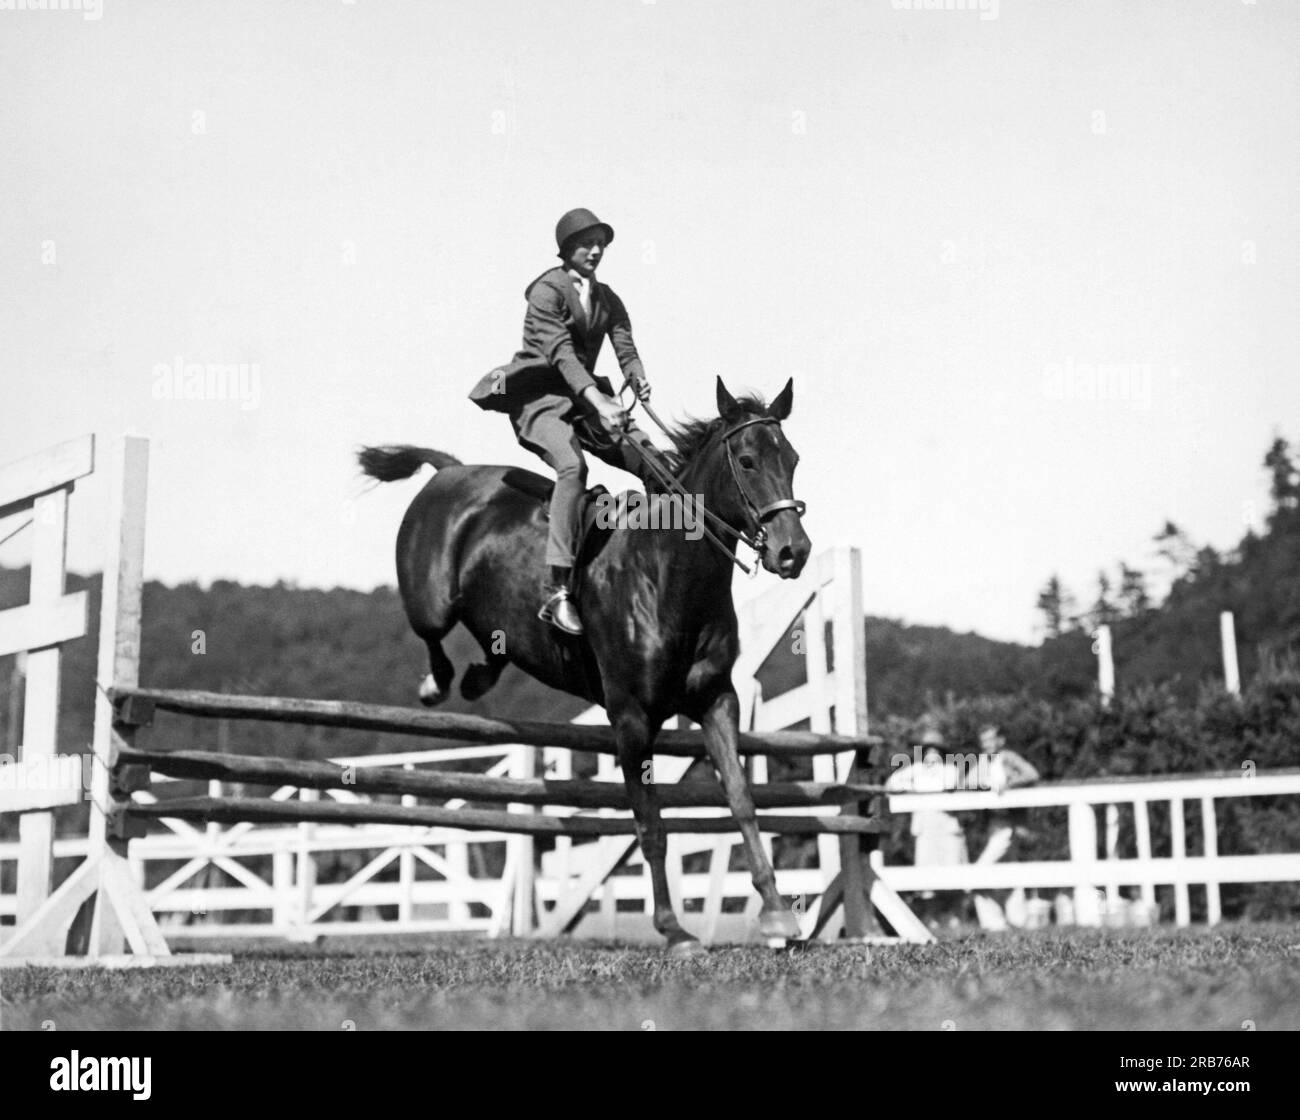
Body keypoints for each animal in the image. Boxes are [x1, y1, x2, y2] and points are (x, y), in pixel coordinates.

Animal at [361, 379, 806, 956]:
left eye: (792, 459)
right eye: (748, 461)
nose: (794, 552)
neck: (669, 572)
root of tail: (450, 471)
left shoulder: (717, 700)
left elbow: (742, 802)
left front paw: (778, 916)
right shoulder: (632, 718)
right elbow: (650, 826)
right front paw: (674, 930)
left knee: (491, 644)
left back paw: (480, 674)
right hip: (430, 601)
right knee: (433, 634)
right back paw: (438, 685)